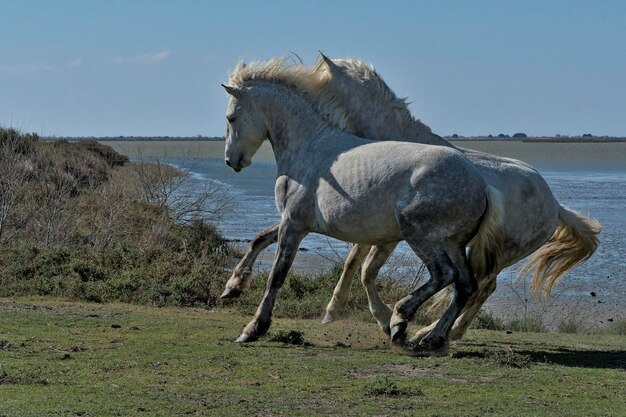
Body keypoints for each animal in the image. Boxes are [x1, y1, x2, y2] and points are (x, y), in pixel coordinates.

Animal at [221, 54, 600, 342]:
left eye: (231, 117)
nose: (231, 162)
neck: (313, 146)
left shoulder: (300, 224)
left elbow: (282, 274)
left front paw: (254, 328)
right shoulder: (305, 223)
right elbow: (261, 240)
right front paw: (232, 287)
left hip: (432, 237)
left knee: (463, 282)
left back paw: (413, 323)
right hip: (455, 243)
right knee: (466, 285)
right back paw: (431, 336)